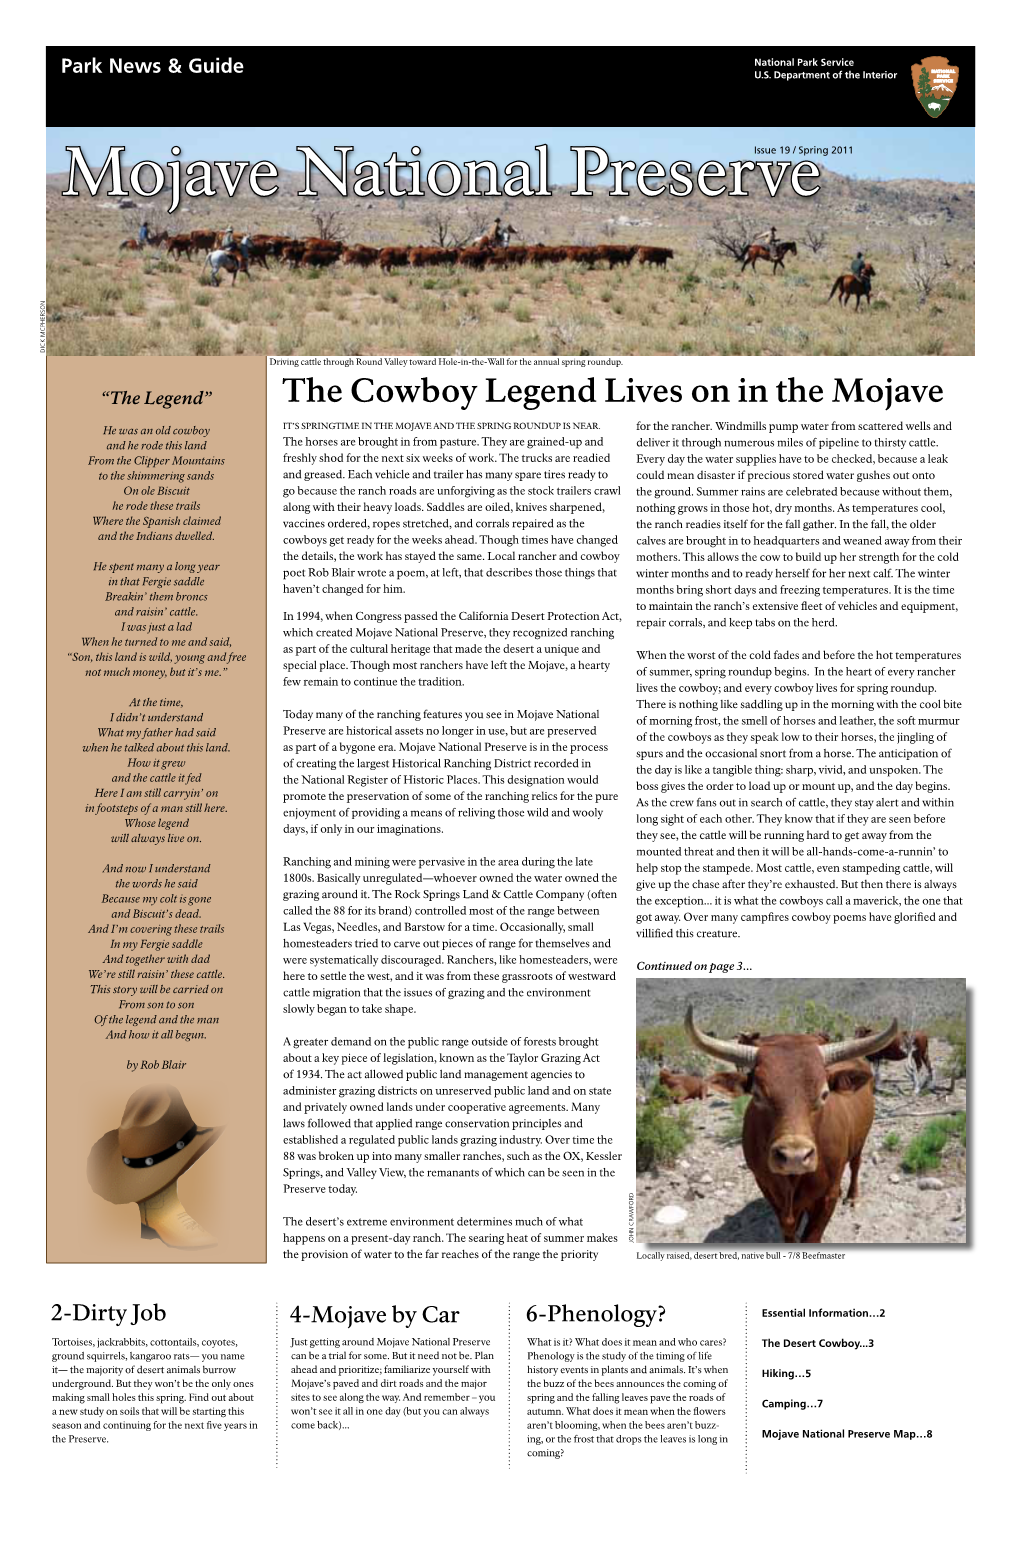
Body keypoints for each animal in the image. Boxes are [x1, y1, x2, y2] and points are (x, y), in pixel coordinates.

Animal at [687, 1004, 893, 1245]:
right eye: (757, 1094)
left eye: (824, 1094)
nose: (794, 1156)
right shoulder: (768, 1188)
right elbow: (789, 1230)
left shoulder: (827, 1197)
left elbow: (812, 1235)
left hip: (861, 1141)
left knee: (856, 1165)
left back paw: (851, 1196)